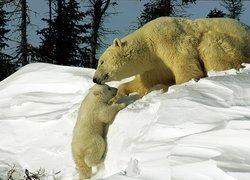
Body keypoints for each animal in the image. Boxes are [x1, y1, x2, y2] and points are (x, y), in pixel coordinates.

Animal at [92, 17, 250, 100]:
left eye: (101, 61)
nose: (94, 79)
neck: (149, 43)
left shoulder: (169, 40)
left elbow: (185, 65)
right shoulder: (156, 65)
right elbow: (147, 81)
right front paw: (119, 94)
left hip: (232, 46)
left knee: (211, 43)